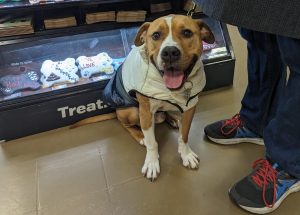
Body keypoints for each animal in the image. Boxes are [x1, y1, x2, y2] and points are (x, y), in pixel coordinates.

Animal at [76, 14, 214, 181]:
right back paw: (140, 135)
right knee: (125, 125)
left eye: (187, 33)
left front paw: (186, 154)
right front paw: (152, 163)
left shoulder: (190, 106)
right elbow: (152, 143)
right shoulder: (146, 112)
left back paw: (172, 119)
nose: (170, 52)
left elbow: (184, 135)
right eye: (156, 35)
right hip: (132, 112)